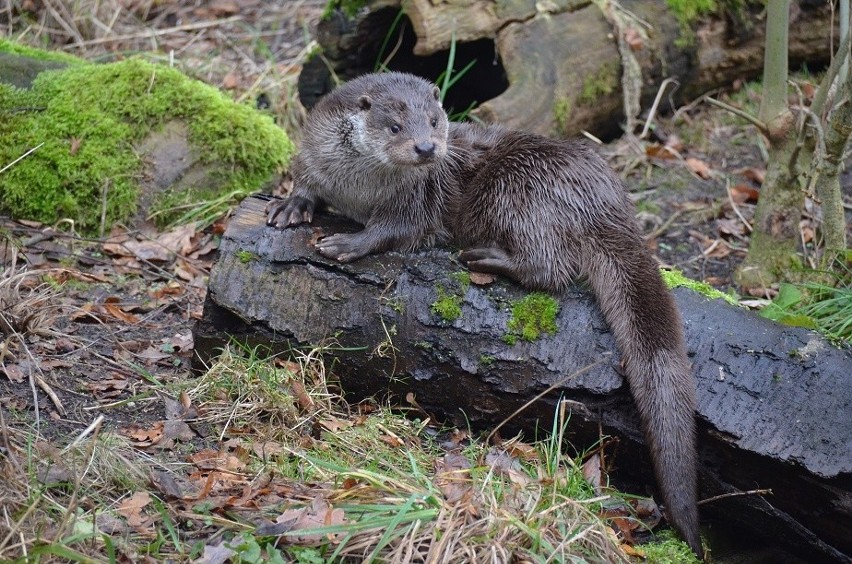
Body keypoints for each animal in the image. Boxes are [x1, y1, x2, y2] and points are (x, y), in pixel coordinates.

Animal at [270, 70, 704, 556]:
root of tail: (604, 200)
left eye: (435, 120)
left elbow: (395, 230)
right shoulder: (314, 152)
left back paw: (487, 257)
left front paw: (351, 242)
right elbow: (305, 178)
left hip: (520, 190)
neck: (358, 188)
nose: (427, 149)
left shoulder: (415, 200)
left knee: (549, 266)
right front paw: (292, 203)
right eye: (395, 127)